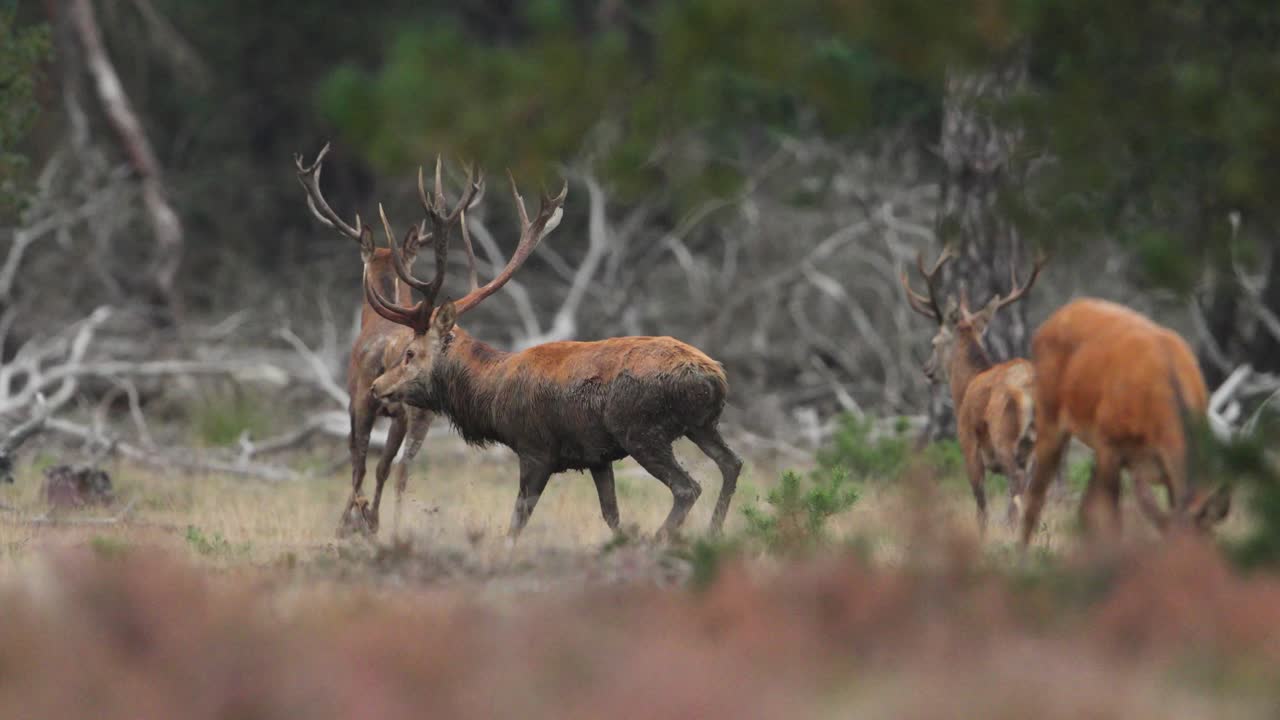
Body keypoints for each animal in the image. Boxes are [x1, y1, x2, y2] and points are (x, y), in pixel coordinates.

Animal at [294, 144, 482, 537]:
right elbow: (383, 468)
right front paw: (366, 519)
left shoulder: (357, 399)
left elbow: (358, 464)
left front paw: (351, 521)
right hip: (421, 413)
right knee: (401, 470)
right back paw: (387, 523)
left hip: (370, 400)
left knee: (367, 464)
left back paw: (363, 520)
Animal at [361, 172, 743, 541]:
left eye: (410, 353)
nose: (377, 386)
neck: (491, 397)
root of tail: (714, 378)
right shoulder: (597, 457)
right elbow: (611, 516)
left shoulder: (535, 450)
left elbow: (517, 521)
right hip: (702, 424)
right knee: (732, 464)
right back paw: (714, 532)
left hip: (642, 429)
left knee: (688, 487)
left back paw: (662, 538)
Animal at [901, 246, 1045, 535]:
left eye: (934, 342)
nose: (926, 369)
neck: (967, 385)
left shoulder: (968, 443)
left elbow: (980, 503)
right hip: (1038, 444)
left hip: (1005, 435)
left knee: (1015, 483)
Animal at [1019, 298, 1232, 547]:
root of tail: (1045, 326)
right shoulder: (1110, 444)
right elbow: (1113, 523)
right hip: (1050, 418)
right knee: (1035, 497)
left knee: (1082, 509)